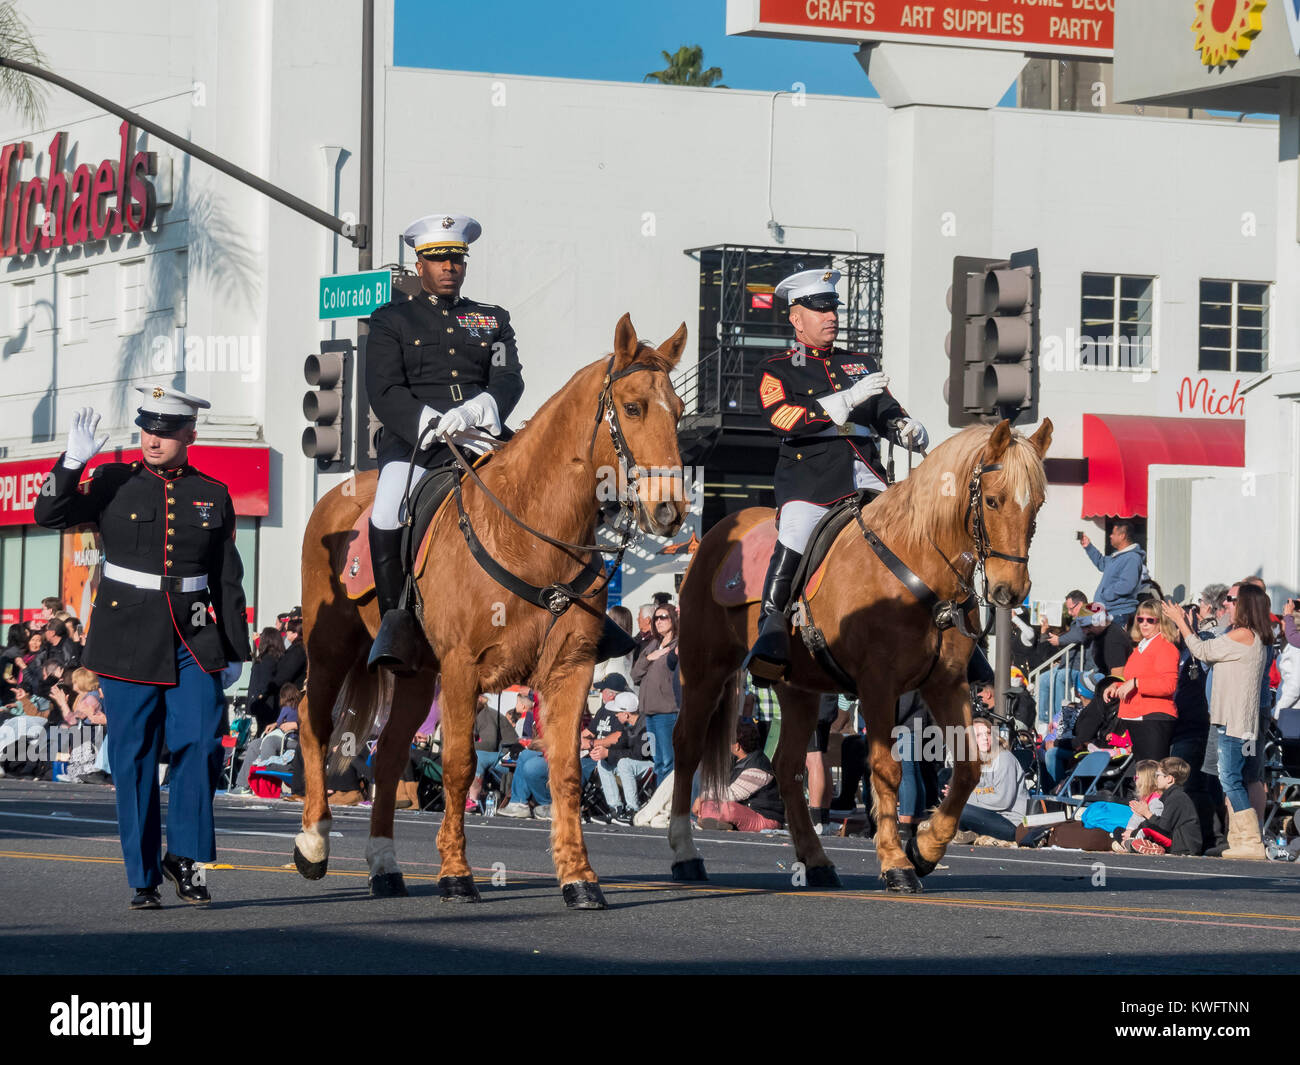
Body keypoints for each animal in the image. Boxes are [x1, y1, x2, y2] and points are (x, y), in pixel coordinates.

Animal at [293, 314, 691, 910]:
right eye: (635, 406)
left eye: (680, 410)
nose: (669, 510)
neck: (532, 535)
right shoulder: (463, 669)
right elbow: (458, 767)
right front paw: (456, 875)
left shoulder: (569, 670)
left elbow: (565, 770)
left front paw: (579, 877)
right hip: (332, 648)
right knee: (312, 723)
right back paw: (314, 844)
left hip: (417, 673)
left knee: (388, 754)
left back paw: (385, 865)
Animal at [665, 421, 1050, 894]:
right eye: (993, 500)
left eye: (1037, 504)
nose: (1009, 590)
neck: (916, 564)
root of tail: (713, 535)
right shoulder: (878, 684)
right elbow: (885, 769)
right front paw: (896, 863)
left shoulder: (946, 683)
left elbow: (967, 769)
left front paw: (925, 848)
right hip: (704, 671)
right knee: (687, 747)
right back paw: (685, 853)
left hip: (799, 689)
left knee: (788, 768)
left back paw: (816, 860)